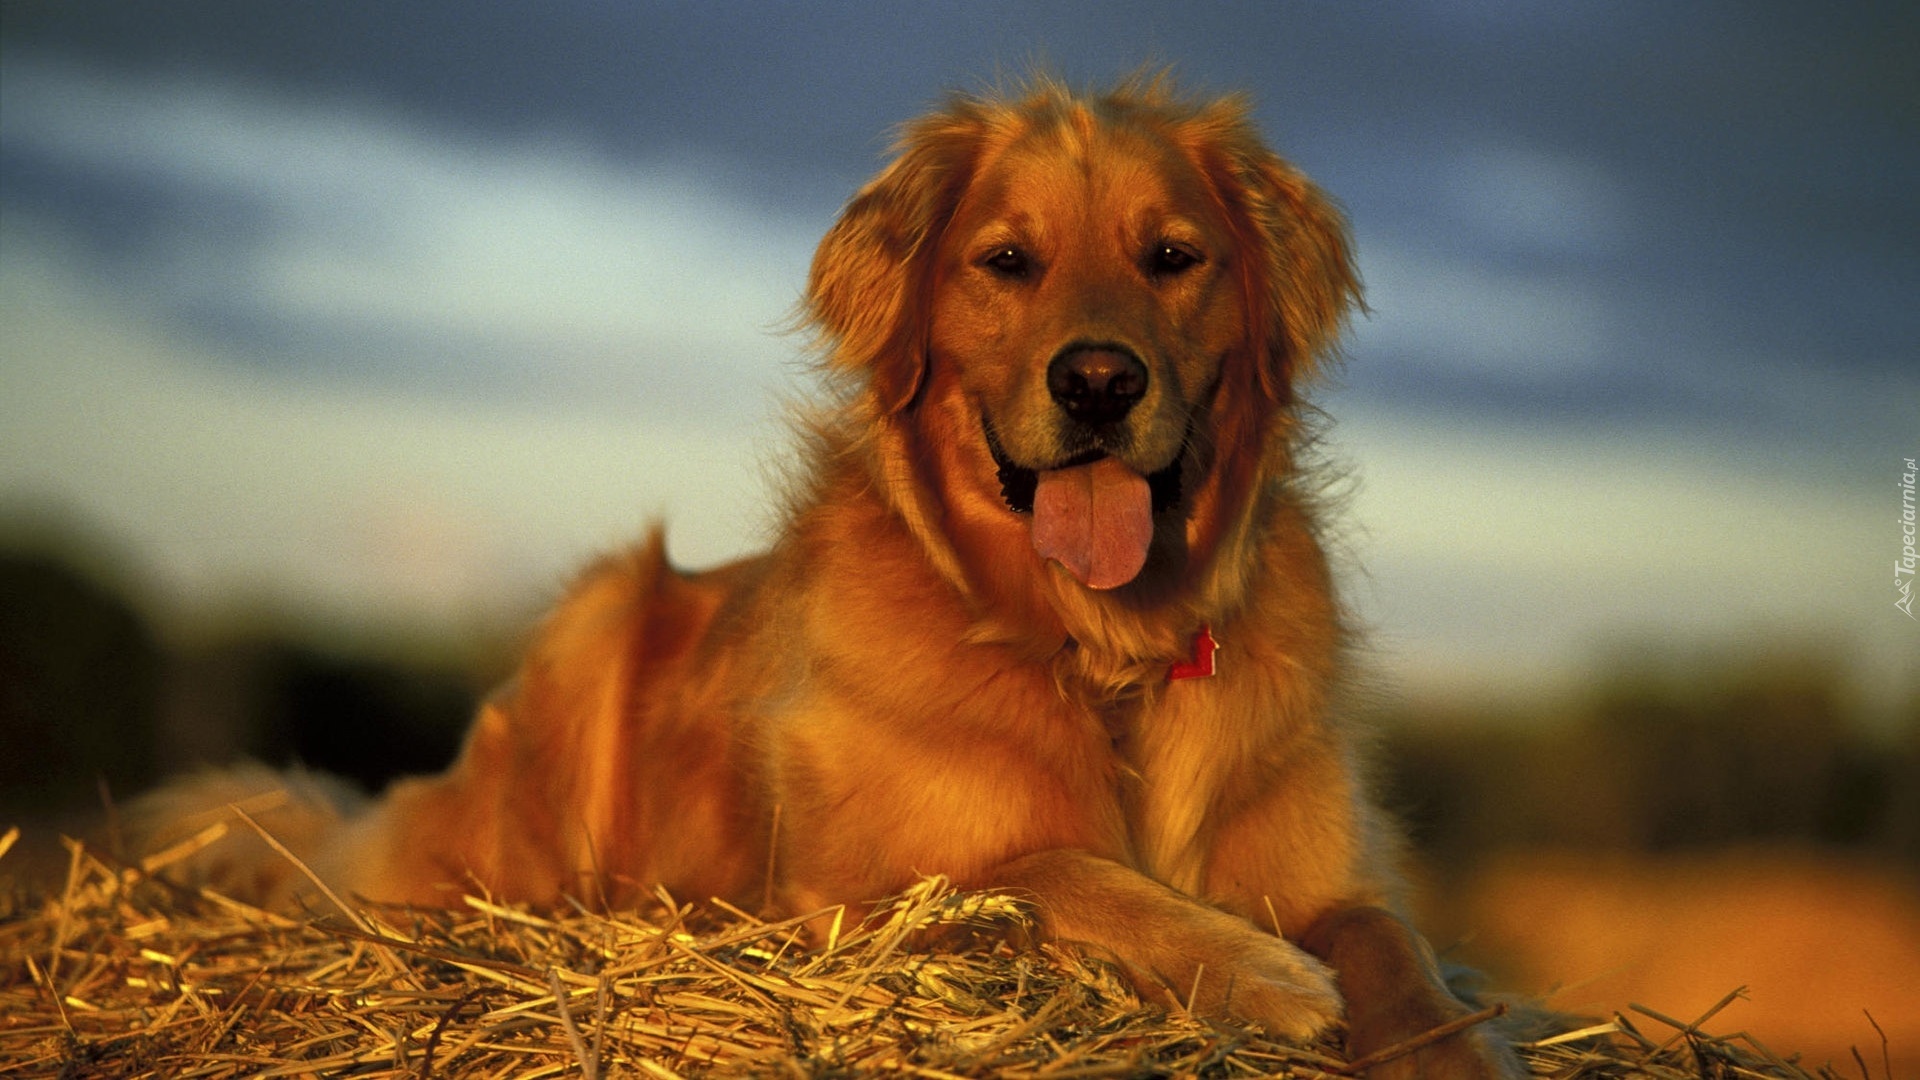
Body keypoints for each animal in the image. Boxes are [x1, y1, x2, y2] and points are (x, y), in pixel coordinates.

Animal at [135, 77, 1520, 1076]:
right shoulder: (853, 892)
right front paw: (1266, 976)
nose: (1099, 382)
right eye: (1006, 262)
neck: (1097, 648)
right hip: (593, 626)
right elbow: (1045, 869)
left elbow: (1409, 965)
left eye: (1174, 256)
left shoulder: (1342, 876)